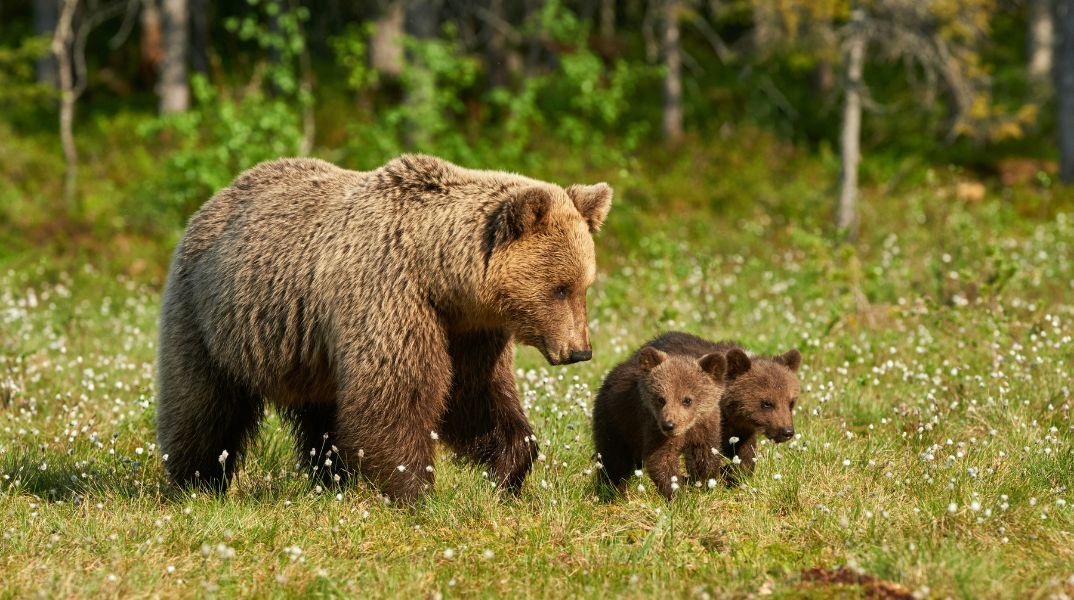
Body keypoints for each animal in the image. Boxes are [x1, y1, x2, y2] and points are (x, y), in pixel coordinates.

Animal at [157, 154, 614, 502]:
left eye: (584, 286)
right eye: (559, 288)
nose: (580, 351)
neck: (439, 274)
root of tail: (216, 198)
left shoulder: (468, 330)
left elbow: (475, 396)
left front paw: (508, 472)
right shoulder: (388, 295)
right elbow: (397, 393)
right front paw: (414, 489)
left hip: (309, 353)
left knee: (322, 416)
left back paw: (329, 479)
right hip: (210, 316)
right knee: (203, 404)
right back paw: (195, 483)